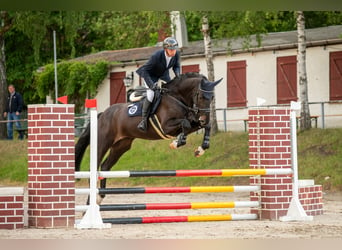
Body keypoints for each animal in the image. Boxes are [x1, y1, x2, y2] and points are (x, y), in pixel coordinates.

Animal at [75, 72, 222, 201]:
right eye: (201, 96)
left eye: (212, 97)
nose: (204, 118)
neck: (178, 98)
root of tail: (102, 114)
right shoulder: (166, 127)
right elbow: (185, 124)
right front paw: (178, 142)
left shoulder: (192, 122)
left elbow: (205, 126)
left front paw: (201, 149)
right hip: (103, 142)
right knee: (95, 167)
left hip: (121, 146)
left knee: (105, 166)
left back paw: (100, 196)